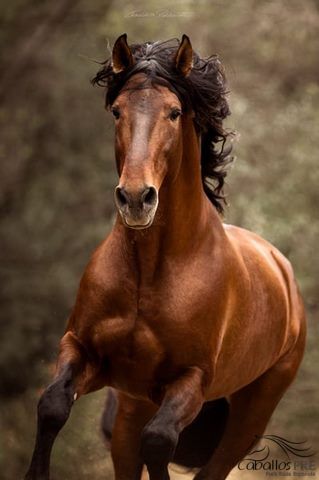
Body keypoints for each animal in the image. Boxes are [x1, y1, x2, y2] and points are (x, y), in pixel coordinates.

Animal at [24, 33, 304, 480]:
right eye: (117, 111)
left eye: (174, 112)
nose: (137, 198)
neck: (149, 272)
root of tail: (281, 267)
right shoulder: (83, 350)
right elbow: (51, 406)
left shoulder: (190, 380)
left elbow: (158, 441)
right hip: (132, 406)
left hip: (251, 415)